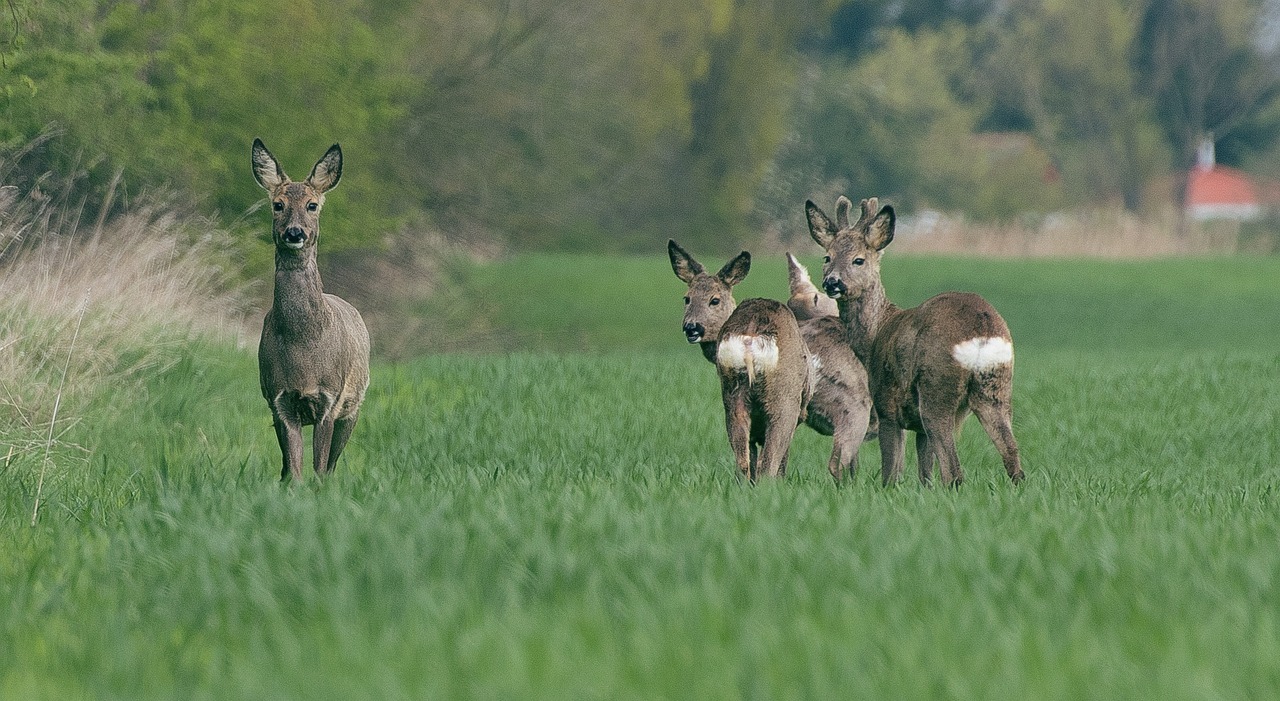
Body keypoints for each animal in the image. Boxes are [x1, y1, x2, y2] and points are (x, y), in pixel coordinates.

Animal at [249, 139, 371, 483]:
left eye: (312, 205)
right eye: (278, 204)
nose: (294, 233)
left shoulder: (329, 398)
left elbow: (319, 469)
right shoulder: (278, 400)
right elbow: (294, 472)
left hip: (353, 407)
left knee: (331, 465)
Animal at [670, 240, 870, 480]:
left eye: (714, 300)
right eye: (687, 298)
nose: (692, 327)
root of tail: (751, 337)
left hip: (733, 398)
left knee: (743, 463)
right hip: (787, 400)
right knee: (774, 465)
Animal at [803, 194, 1024, 483]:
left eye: (858, 260)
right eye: (827, 257)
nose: (832, 282)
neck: (875, 334)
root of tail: (982, 329)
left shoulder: (887, 405)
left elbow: (891, 473)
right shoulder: (916, 427)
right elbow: (924, 476)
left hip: (936, 388)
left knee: (953, 471)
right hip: (996, 389)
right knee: (1013, 459)